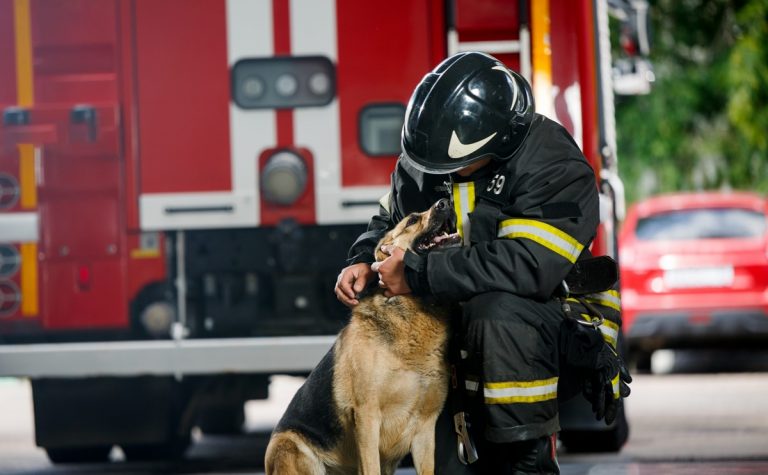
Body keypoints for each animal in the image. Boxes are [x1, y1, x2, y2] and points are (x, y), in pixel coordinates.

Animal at [268, 200, 462, 475]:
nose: (445, 202)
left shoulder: (425, 428)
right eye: (412, 220)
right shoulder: (367, 418)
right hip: (290, 447)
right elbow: (370, 466)